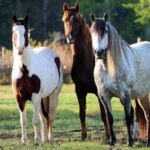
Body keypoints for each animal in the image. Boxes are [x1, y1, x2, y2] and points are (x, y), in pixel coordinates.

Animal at [11, 14, 63, 145]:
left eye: (25, 32)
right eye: (14, 31)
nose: (20, 50)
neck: (25, 70)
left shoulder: (35, 96)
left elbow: (35, 120)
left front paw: (36, 141)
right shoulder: (19, 98)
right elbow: (23, 121)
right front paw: (24, 141)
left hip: (53, 95)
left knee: (50, 116)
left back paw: (50, 138)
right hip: (41, 99)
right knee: (44, 118)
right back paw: (44, 140)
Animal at [89, 12, 150, 146]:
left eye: (106, 31)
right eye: (91, 31)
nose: (99, 52)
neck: (107, 68)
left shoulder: (125, 95)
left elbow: (128, 118)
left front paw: (130, 142)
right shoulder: (104, 96)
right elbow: (110, 118)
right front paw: (112, 141)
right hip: (143, 95)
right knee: (148, 114)